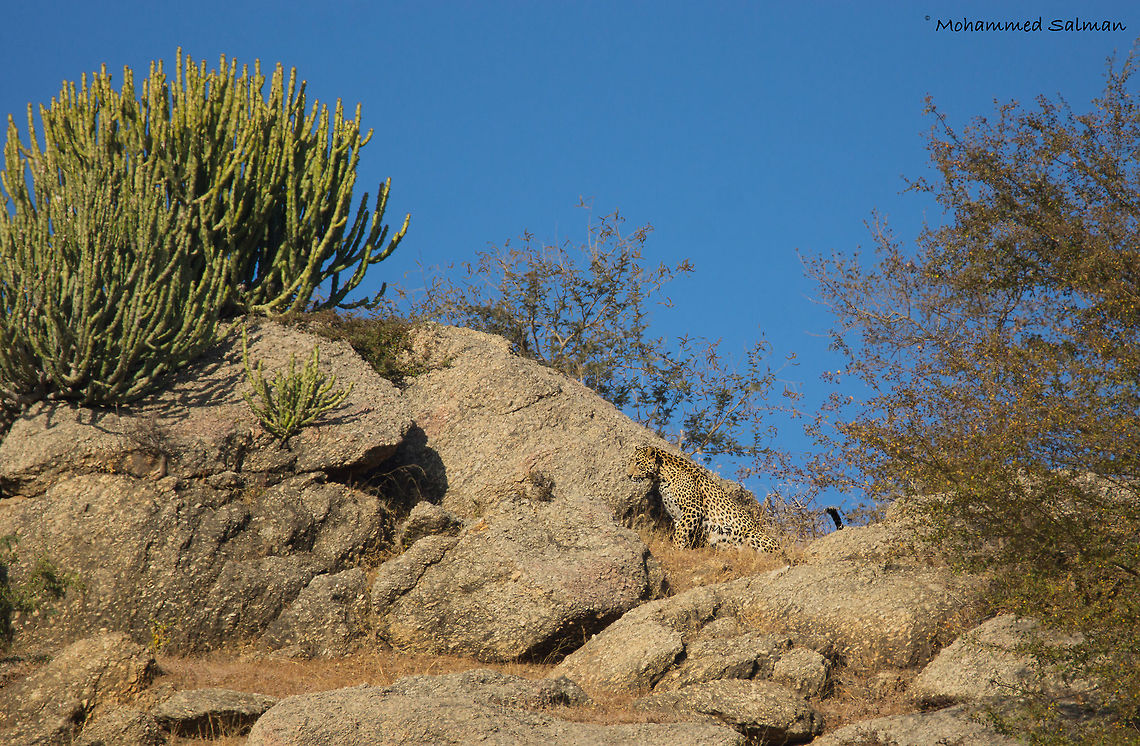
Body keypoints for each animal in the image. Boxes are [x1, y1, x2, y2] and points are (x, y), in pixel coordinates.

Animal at [627, 444, 781, 553]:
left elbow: (680, 533)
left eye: (638, 463)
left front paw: (674, 549)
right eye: (630, 461)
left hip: (753, 536)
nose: (628, 475)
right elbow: (682, 532)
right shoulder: (678, 515)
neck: (662, 476)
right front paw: (682, 548)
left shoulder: (693, 509)